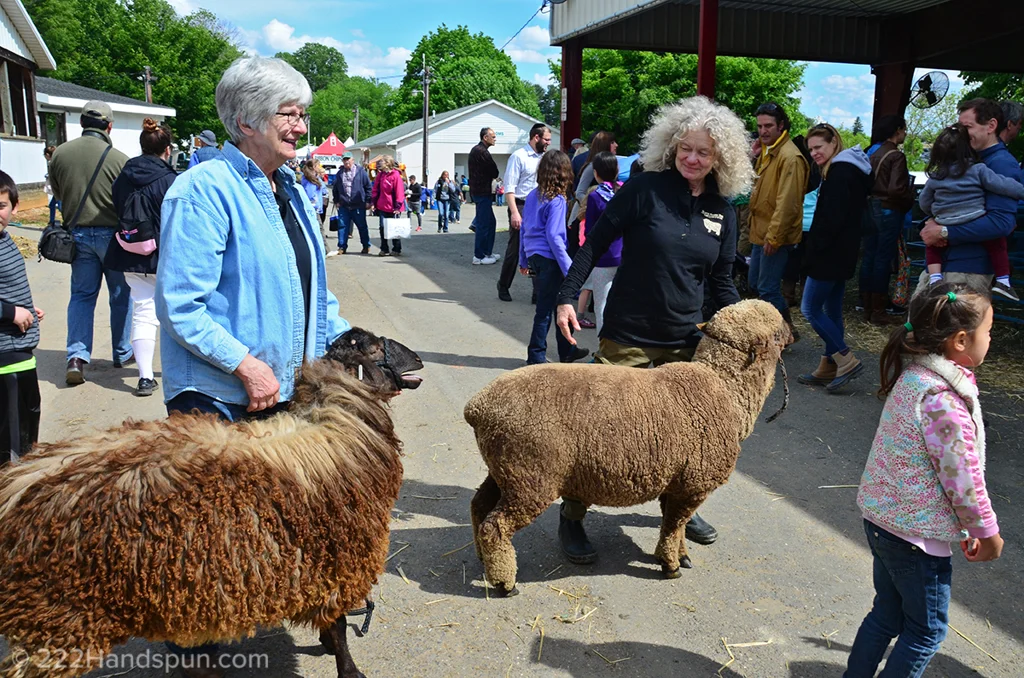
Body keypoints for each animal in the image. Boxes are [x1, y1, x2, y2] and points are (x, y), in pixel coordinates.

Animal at [0, 328, 423, 678]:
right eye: (377, 345)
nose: (418, 359)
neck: (336, 417)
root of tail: (16, 485)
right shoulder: (338, 562)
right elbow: (338, 631)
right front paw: (349, 669)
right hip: (59, 621)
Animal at [466, 300, 789, 595]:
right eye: (776, 332)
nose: (794, 332)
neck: (726, 388)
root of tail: (478, 407)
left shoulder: (677, 482)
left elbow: (675, 525)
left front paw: (681, 555)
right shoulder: (694, 484)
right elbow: (673, 526)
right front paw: (670, 565)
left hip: (506, 470)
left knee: (478, 506)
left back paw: (483, 561)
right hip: (530, 477)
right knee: (494, 527)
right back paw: (505, 583)